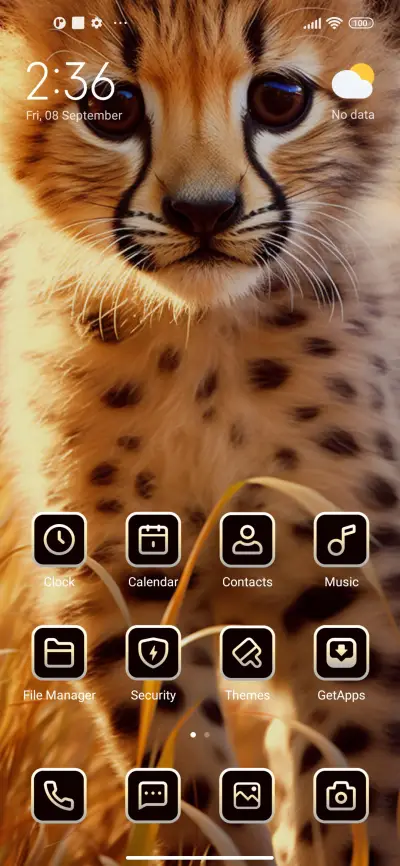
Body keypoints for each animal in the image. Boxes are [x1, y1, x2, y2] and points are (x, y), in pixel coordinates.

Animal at [0, 0, 400, 863]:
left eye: (280, 99)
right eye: (110, 105)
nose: (203, 212)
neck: (203, 342)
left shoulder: (353, 574)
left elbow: (361, 775)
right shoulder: (120, 580)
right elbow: (183, 771)